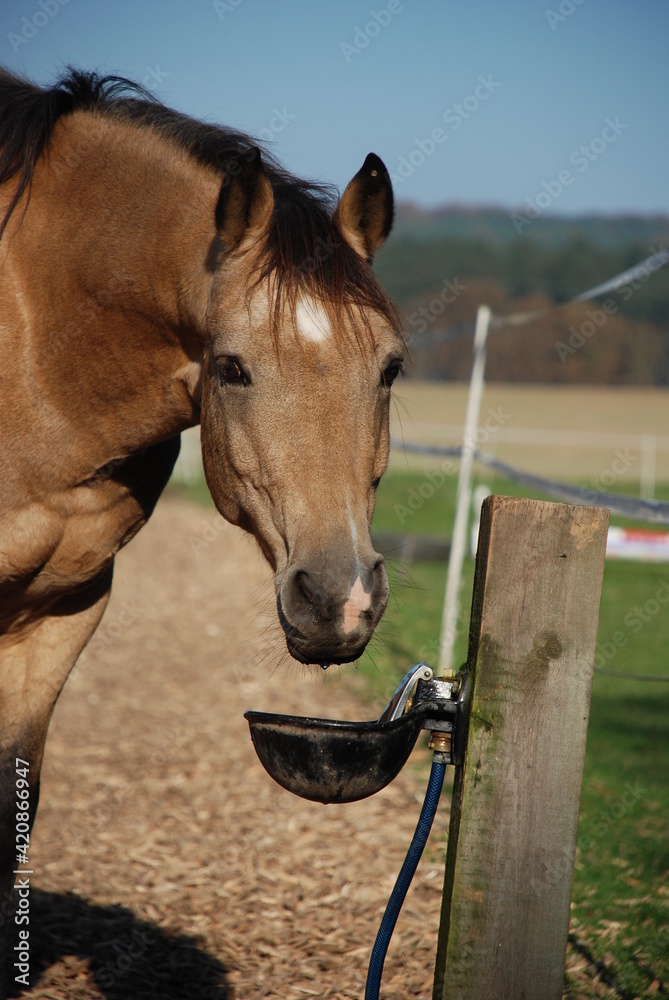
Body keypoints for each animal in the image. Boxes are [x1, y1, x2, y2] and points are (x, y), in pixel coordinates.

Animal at [0, 66, 404, 988]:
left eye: (391, 368)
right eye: (232, 368)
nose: (340, 600)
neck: (37, 336)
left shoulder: (59, 611)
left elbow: (16, 802)